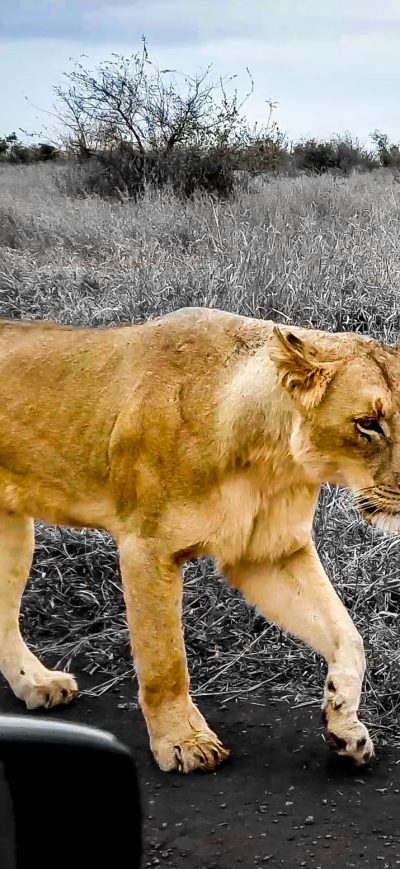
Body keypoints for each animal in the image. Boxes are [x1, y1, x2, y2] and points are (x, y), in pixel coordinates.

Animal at [0, 306, 398, 773]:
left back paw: (36, 682)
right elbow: (165, 659)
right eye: (368, 424)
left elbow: (348, 637)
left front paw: (345, 726)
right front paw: (183, 741)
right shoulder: (146, 548)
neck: (273, 462)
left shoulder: (269, 554)